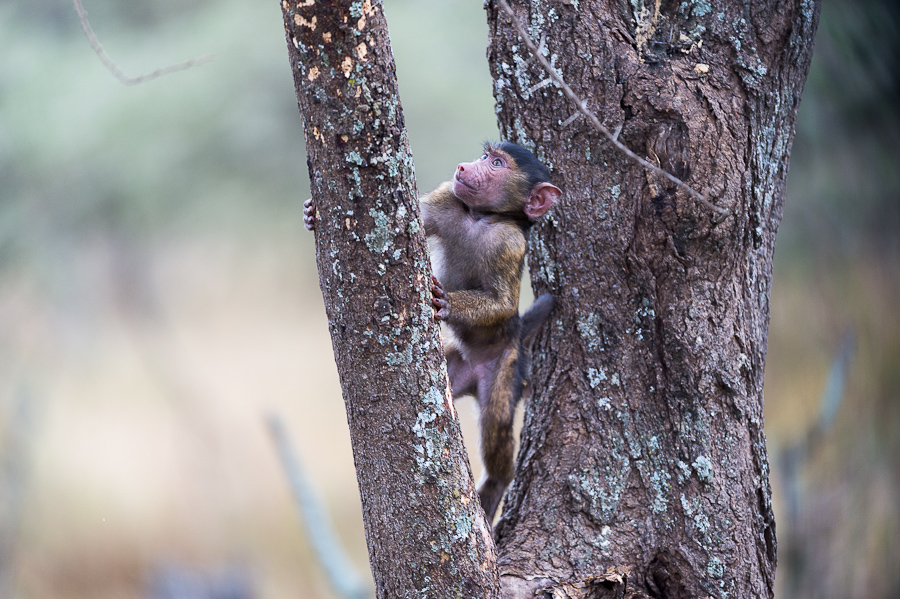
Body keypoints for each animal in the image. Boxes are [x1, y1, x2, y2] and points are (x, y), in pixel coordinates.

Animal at [304, 142, 561, 523]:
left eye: (498, 164)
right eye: (486, 157)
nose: (466, 167)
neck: (481, 217)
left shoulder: (509, 242)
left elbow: (502, 303)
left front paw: (447, 302)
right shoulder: (448, 197)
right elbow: (420, 219)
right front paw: (310, 213)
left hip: (506, 369)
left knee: (496, 426)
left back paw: (496, 484)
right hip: (453, 369)